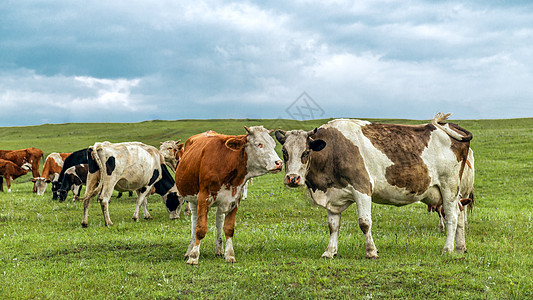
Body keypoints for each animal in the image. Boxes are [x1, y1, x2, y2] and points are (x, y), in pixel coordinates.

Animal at [176, 126, 282, 264]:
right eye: (259, 144)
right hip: (192, 199)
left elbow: (229, 228)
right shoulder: (204, 198)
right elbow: (200, 228)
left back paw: (219, 249)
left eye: (274, 144)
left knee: (219, 220)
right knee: (194, 223)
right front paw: (194, 256)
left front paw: (229, 254)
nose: (279, 163)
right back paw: (189, 251)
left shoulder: (234, 199)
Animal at [276, 113, 472, 258]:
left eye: (306, 152)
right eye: (284, 152)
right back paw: (460, 247)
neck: (332, 150)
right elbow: (333, 226)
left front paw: (371, 252)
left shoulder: (362, 188)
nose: (292, 178)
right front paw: (329, 252)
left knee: (452, 216)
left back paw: (448, 249)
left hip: (449, 186)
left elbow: (364, 223)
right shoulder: (332, 195)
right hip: (453, 192)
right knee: (460, 211)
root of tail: (448, 125)